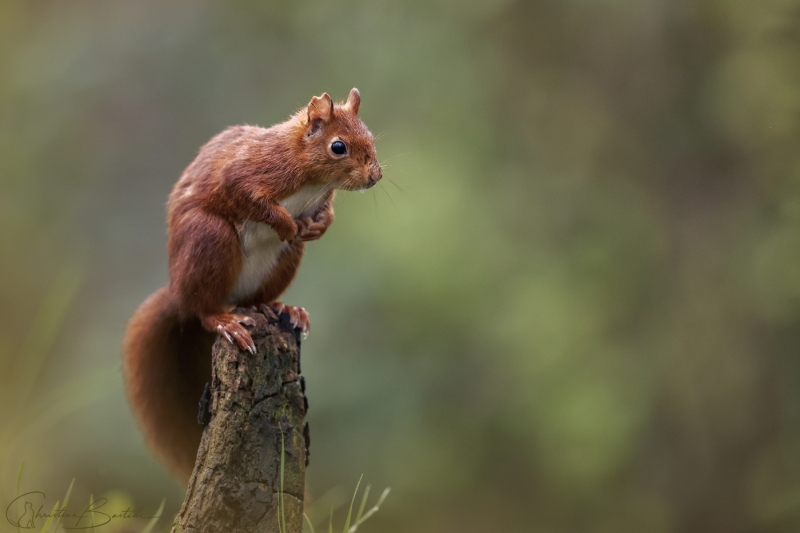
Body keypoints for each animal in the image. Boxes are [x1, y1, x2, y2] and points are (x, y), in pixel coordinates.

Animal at [122, 88, 382, 482]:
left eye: (370, 137)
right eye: (338, 146)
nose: (376, 176)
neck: (312, 179)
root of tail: (178, 293)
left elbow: (327, 213)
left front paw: (319, 225)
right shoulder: (249, 172)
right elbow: (250, 197)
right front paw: (288, 224)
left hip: (283, 261)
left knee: (259, 297)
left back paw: (281, 308)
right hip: (209, 239)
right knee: (203, 310)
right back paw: (226, 321)